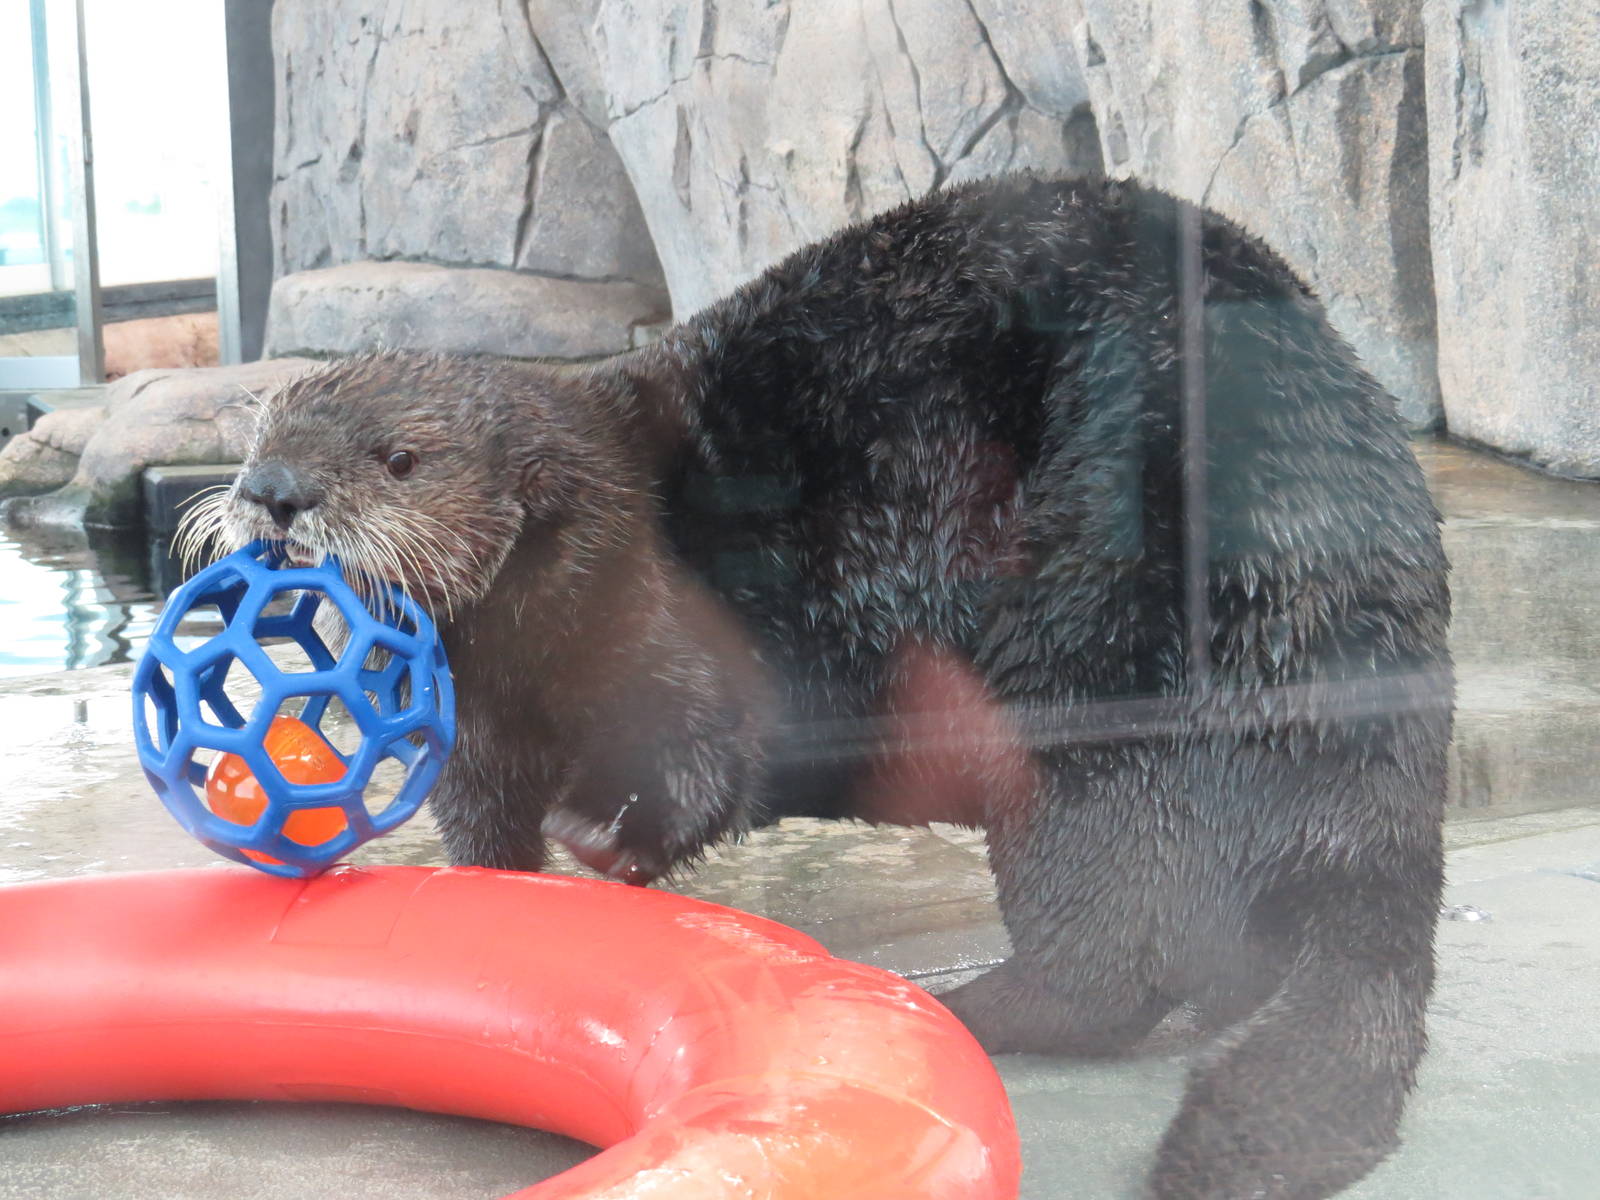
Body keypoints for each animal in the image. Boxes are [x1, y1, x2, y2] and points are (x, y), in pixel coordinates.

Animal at [211, 174, 1452, 1199]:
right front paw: (496, 889)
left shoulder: (661, 625)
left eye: (398, 458)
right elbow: (482, 812)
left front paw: (600, 837)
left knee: (1119, 945)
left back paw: (966, 1003)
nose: (271, 492)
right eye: (260, 432)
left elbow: (707, 754)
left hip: (1108, 657)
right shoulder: (483, 717)